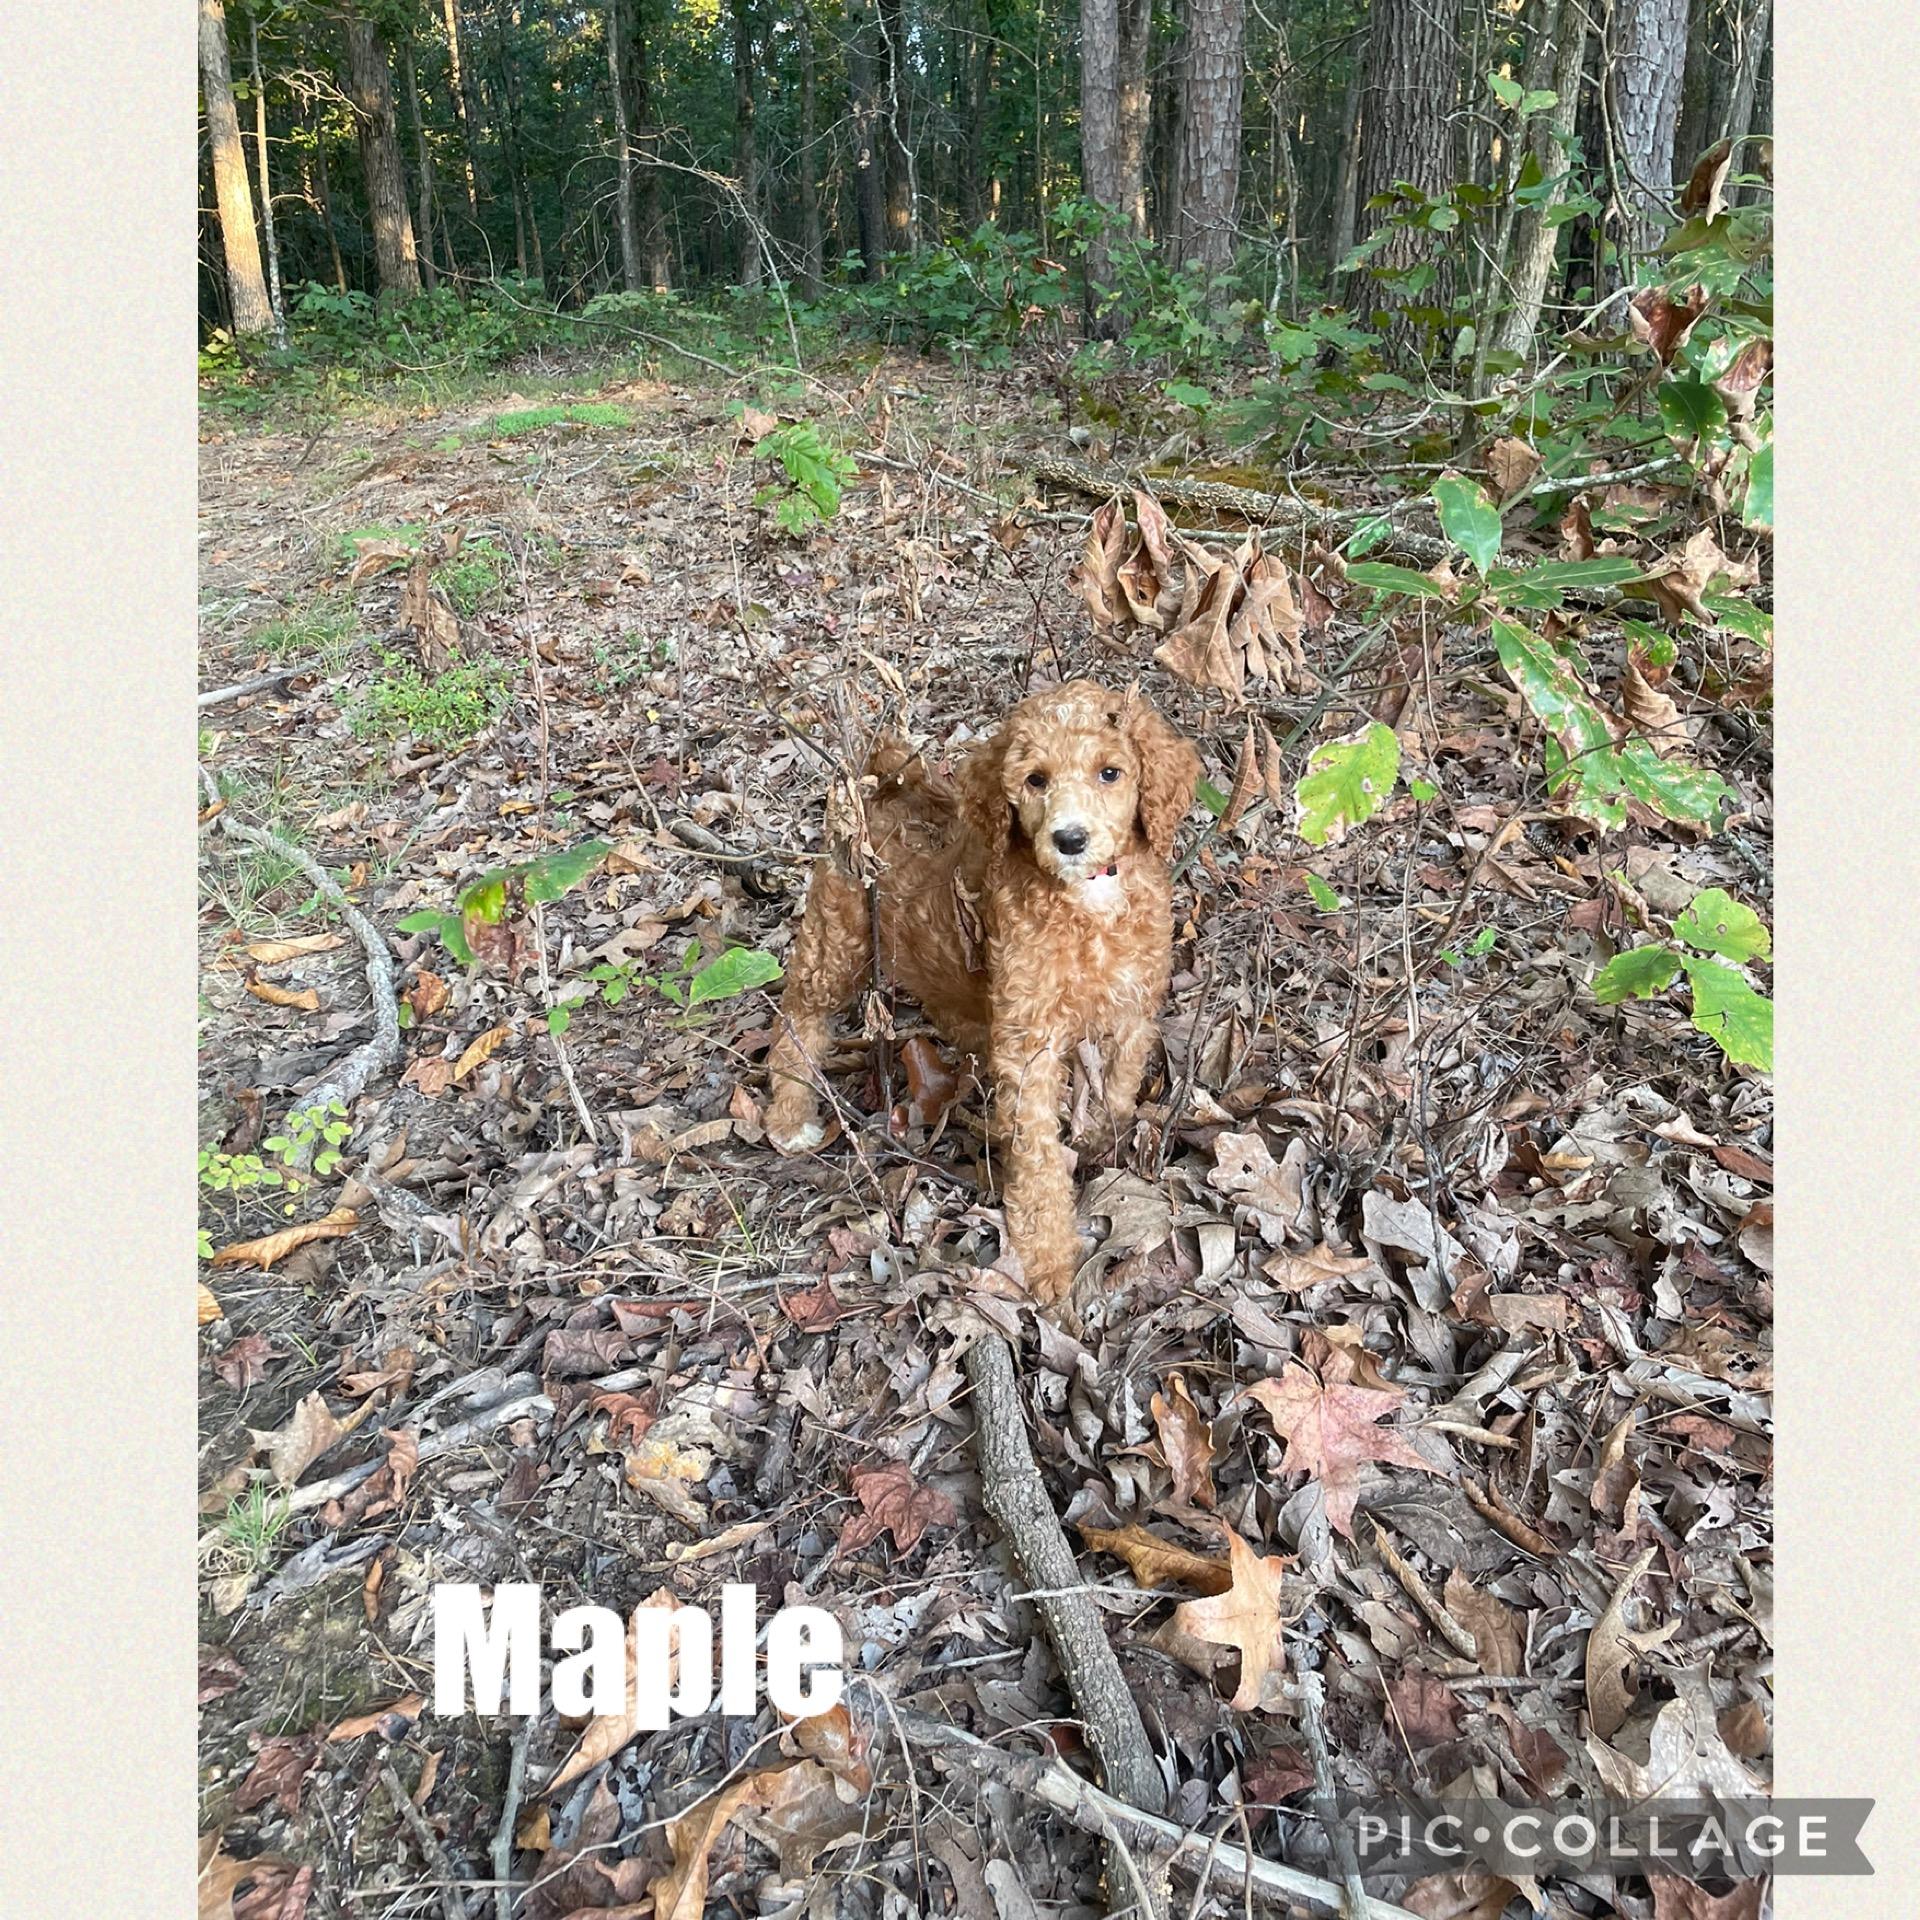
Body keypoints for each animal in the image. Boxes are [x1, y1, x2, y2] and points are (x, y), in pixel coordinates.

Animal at [764, 680, 1201, 1302]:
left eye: (1110, 773)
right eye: (1036, 779)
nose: (1070, 839)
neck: (1089, 901)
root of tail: (882, 786)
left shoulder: (1132, 1004)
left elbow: (1117, 1086)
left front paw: (1102, 1140)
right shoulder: (1030, 1040)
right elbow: (1038, 1153)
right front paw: (1049, 1260)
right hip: (837, 934)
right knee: (798, 1020)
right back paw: (790, 1115)